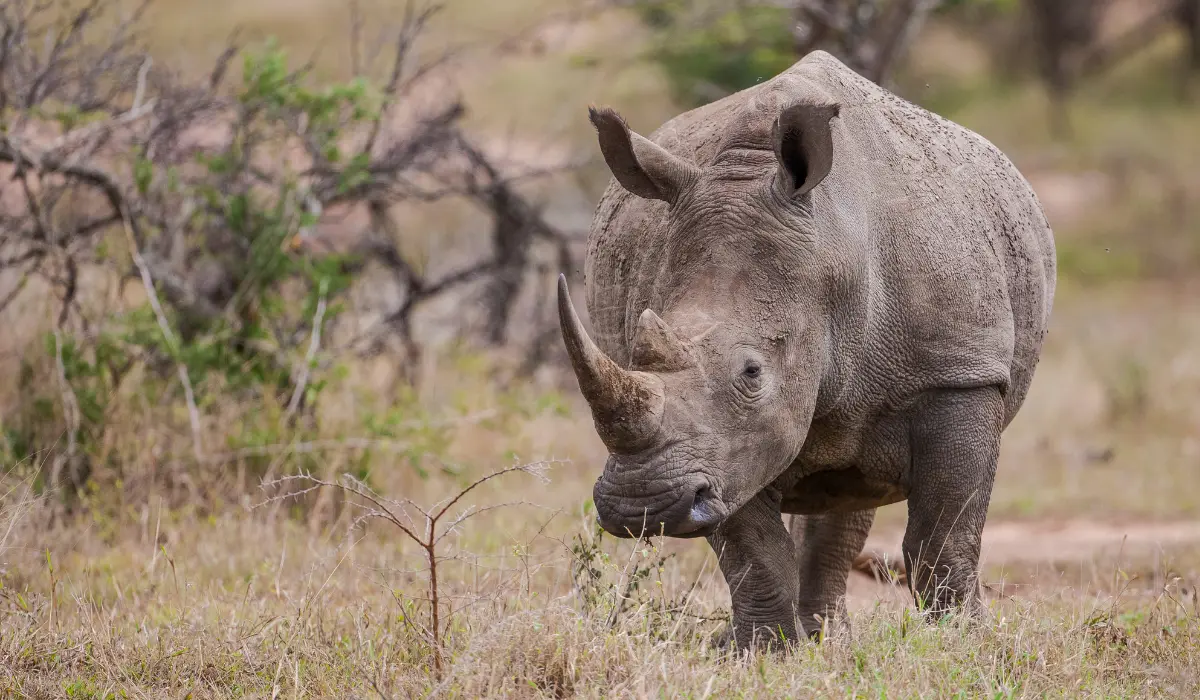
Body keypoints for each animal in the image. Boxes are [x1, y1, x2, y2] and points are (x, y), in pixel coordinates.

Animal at [556, 50, 1056, 649]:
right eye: (633, 351)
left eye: (752, 372)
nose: (642, 506)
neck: (831, 256)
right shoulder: (723, 447)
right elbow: (755, 552)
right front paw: (763, 652)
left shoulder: (959, 371)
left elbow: (945, 535)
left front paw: (963, 643)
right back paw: (821, 640)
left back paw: (831, 637)